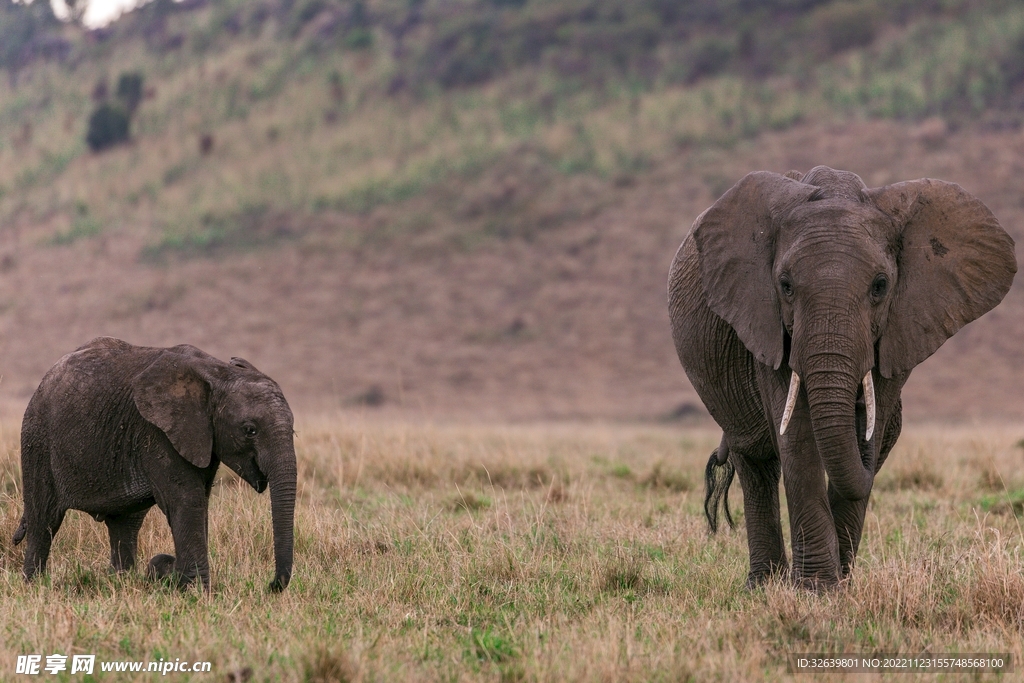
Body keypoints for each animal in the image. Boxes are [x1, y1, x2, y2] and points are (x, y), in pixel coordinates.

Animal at [12, 337, 297, 592]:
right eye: (250, 430)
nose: (270, 585)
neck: (218, 374)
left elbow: (200, 501)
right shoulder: (158, 433)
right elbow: (187, 500)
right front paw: (197, 593)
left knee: (125, 525)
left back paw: (121, 583)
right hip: (38, 439)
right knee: (44, 520)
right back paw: (34, 586)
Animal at [668, 166, 1016, 589]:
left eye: (881, 286)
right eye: (785, 285)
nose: (858, 406)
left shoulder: (900, 327)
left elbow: (872, 425)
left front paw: (839, 588)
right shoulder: (765, 324)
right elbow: (798, 437)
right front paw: (817, 589)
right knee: (756, 462)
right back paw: (764, 585)